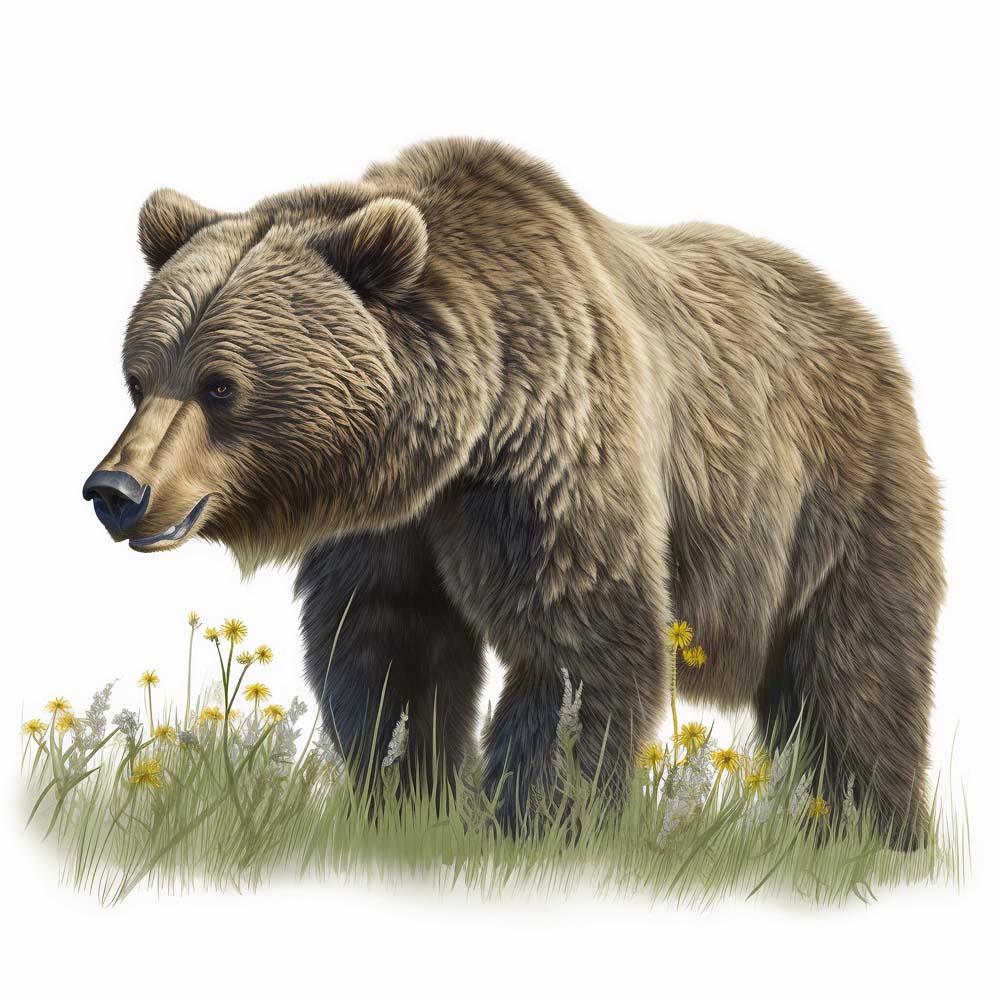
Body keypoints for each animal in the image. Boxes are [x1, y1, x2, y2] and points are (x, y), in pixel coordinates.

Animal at [83, 137, 944, 844]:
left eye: (221, 385)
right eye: (138, 378)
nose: (117, 490)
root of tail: (861, 320)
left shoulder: (556, 455)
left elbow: (579, 648)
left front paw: (530, 821)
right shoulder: (389, 525)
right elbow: (388, 649)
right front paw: (404, 799)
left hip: (834, 496)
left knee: (856, 677)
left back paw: (870, 833)